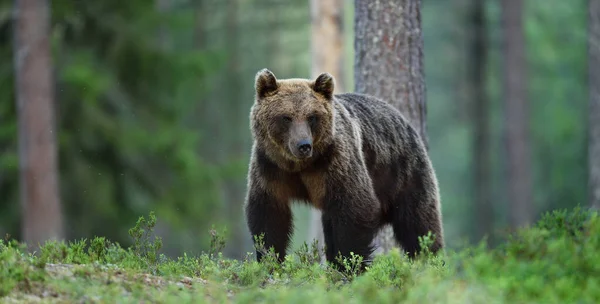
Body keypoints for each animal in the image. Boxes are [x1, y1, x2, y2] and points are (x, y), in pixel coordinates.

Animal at [244, 68, 446, 268]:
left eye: (312, 117)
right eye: (286, 117)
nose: (304, 145)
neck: (299, 165)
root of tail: (403, 119)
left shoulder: (336, 164)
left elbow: (355, 209)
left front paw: (350, 264)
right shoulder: (270, 169)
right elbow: (269, 216)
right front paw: (270, 260)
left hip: (403, 173)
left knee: (419, 222)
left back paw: (431, 259)